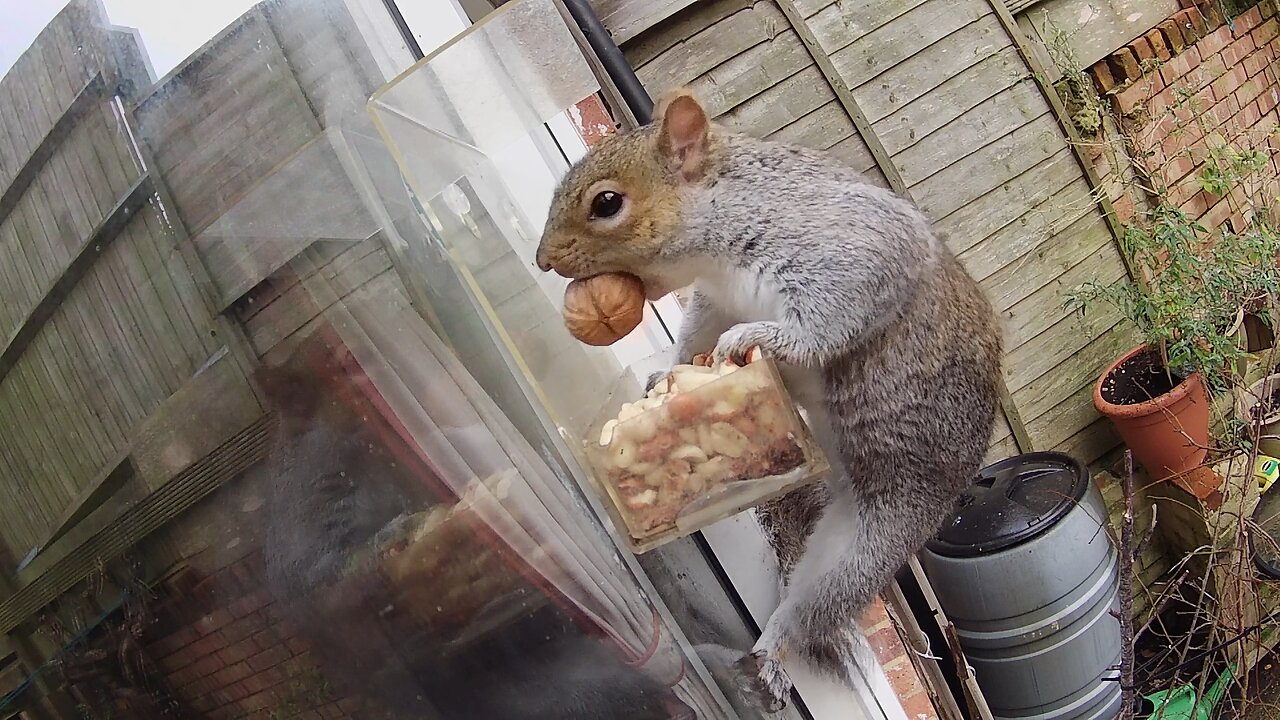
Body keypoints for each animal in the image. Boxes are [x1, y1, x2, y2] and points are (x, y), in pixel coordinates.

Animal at [535, 88, 1003, 707]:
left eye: (607, 203)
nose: (543, 259)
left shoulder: (847, 249)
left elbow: (827, 321)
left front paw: (761, 340)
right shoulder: (715, 299)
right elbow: (695, 338)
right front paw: (667, 376)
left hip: (883, 523)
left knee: (817, 602)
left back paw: (773, 653)